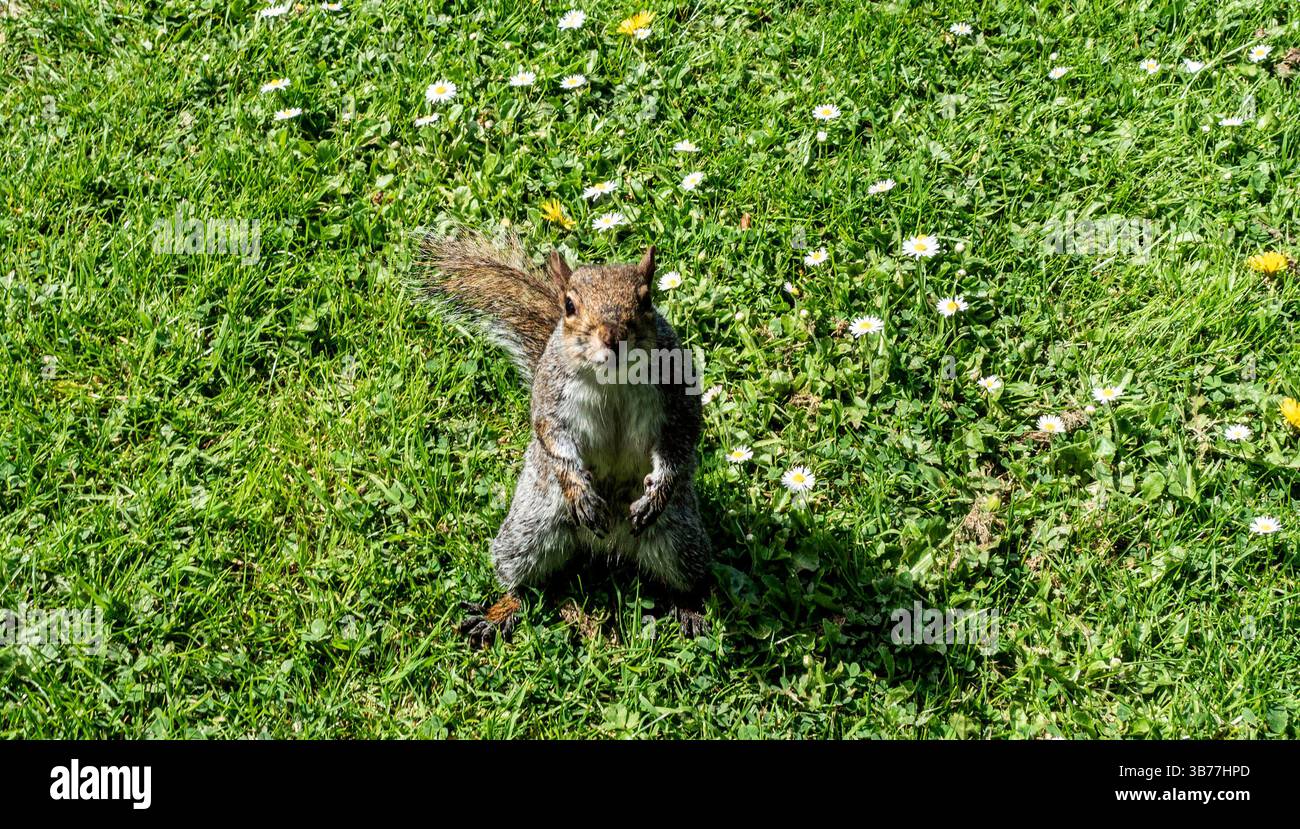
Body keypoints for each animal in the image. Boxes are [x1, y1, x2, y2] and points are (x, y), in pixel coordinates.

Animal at [416, 230, 711, 647]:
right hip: (529, 530)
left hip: (681, 540)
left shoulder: (677, 391)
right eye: (569, 305)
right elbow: (553, 438)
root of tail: (608, 545)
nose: (612, 337)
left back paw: (690, 609)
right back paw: (499, 612)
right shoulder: (551, 396)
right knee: (520, 582)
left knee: (687, 579)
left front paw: (658, 492)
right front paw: (580, 491)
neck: (613, 379)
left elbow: (681, 438)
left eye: (646, 299)